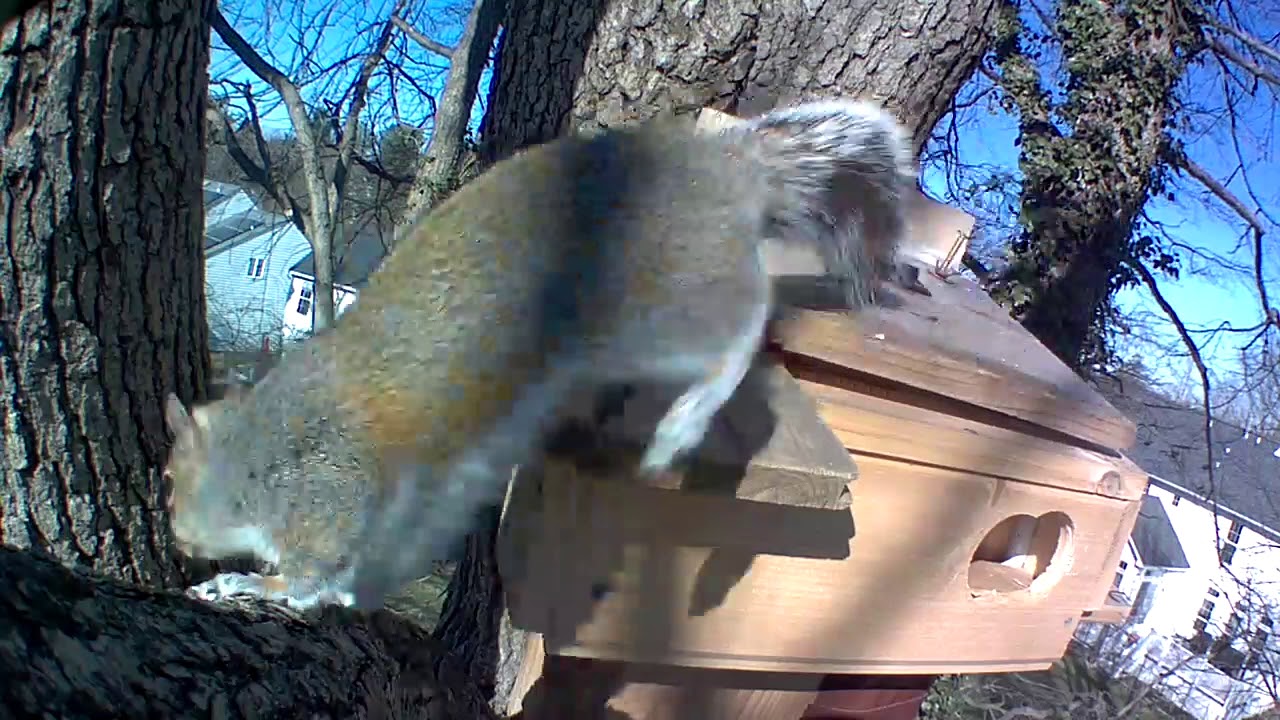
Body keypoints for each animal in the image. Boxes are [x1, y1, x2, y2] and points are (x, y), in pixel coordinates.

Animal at [163, 97, 919, 611]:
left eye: (170, 480)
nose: (174, 537)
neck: (259, 447)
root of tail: (718, 169)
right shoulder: (414, 510)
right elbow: (381, 562)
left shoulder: (328, 491)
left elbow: (309, 571)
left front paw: (245, 582)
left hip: (663, 307)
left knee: (740, 328)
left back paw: (682, 423)